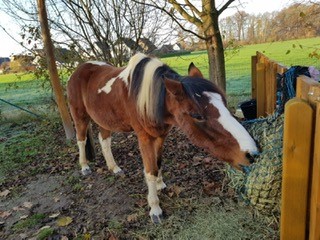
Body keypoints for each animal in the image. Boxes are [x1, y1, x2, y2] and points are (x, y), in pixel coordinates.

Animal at [67, 52, 258, 223]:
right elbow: (150, 170)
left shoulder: (160, 135)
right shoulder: (144, 138)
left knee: (104, 141)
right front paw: (155, 209)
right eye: (197, 115)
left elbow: (158, 163)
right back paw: (84, 167)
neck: (148, 98)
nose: (252, 154)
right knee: (81, 140)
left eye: (224, 104)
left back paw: (114, 168)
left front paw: (160, 185)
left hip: (104, 121)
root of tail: (78, 70)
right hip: (80, 117)